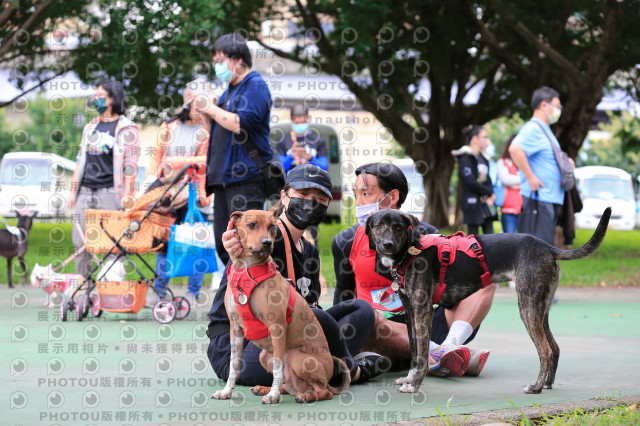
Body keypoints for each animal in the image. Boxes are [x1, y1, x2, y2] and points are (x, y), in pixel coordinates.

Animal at [211, 210, 350, 402]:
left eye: (272, 226)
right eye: (251, 225)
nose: (267, 243)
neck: (247, 271)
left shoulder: (277, 327)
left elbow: (278, 368)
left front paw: (273, 395)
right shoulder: (236, 331)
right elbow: (234, 365)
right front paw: (226, 392)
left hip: (299, 358)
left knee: (323, 392)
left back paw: (304, 396)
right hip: (264, 356)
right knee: (289, 384)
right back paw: (265, 388)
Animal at [364, 206, 608, 392]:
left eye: (398, 227)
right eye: (378, 226)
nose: (387, 245)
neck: (410, 251)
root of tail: (546, 247)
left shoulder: (422, 310)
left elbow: (422, 353)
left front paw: (415, 385)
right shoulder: (410, 311)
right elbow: (414, 350)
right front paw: (409, 378)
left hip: (528, 307)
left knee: (546, 350)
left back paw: (536, 387)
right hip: (541, 308)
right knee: (554, 347)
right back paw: (547, 384)